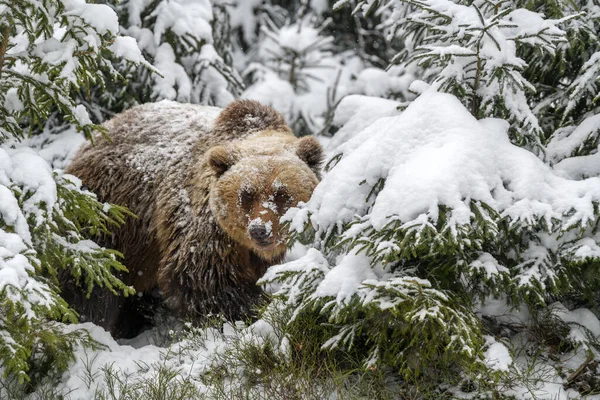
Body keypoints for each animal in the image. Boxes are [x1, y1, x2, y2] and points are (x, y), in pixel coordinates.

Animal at [62, 99, 324, 338]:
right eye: (247, 195)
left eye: (282, 194)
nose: (260, 230)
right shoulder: (202, 220)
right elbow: (203, 278)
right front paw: (247, 312)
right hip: (108, 214)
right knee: (92, 280)